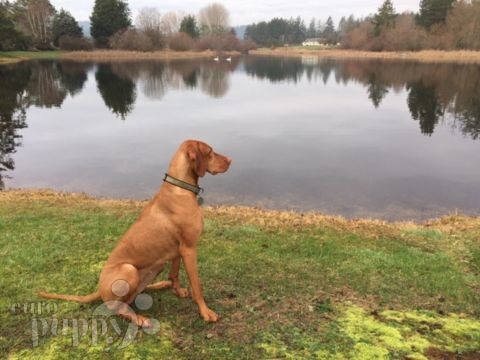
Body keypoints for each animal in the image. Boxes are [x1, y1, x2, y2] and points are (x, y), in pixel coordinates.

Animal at [38, 141, 232, 326]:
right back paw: (140, 320)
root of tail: (99, 290)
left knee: (137, 294)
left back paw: (161, 284)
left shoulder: (178, 250)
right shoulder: (189, 248)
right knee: (118, 308)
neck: (180, 188)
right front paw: (205, 312)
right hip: (128, 270)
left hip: (155, 266)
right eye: (210, 151)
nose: (231, 160)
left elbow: (175, 274)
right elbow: (197, 286)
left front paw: (177, 290)